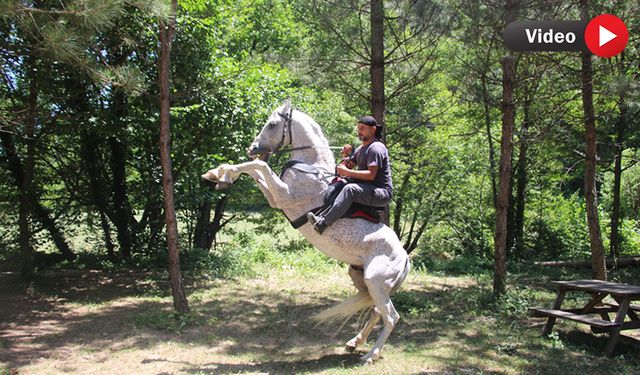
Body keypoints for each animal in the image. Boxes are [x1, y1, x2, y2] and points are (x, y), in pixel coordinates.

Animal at [201, 100, 410, 364]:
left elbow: (259, 165)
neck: (311, 167)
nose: (252, 147)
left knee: (391, 316)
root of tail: (405, 258)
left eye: (272, 124)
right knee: (375, 310)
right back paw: (355, 342)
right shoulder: (275, 198)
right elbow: (257, 170)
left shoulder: (283, 195)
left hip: (375, 281)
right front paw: (218, 174)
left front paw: (219, 174)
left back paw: (370, 355)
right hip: (363, 280)